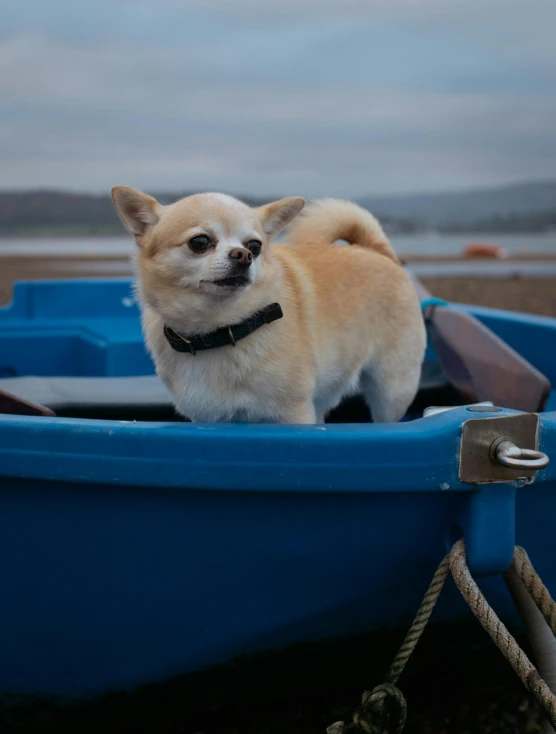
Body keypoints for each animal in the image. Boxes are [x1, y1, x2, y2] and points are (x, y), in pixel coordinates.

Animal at [112, 187, 426, 422]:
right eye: (200, 242)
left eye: (255, 246)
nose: (243, 255)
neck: (219, 330)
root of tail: (376, 251)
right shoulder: (207, 419)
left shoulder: (294, 416)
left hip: (392, 390)